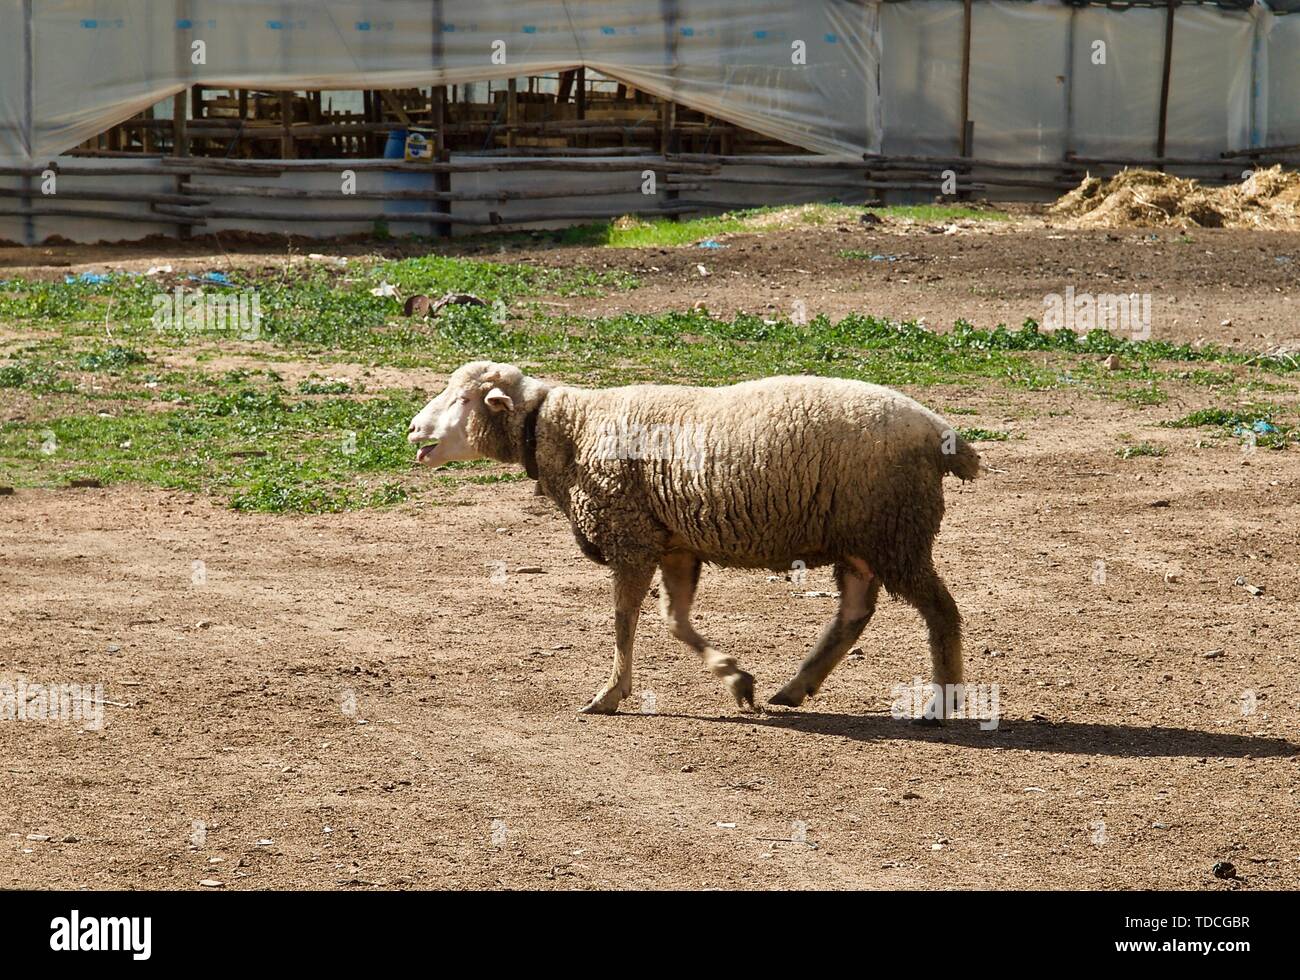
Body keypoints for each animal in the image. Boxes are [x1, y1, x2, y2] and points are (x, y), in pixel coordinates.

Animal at [408, 360, 982, 716]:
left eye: (462, 399)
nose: (412, 429)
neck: (565, 429)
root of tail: (942, 433)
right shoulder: (675, 544)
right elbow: (674, 620)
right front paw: (735, 678)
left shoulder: (630, 536)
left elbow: (624, 622)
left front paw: (610, 694)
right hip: (862, 540)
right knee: (856, 612)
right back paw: (795, 687)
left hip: (895, 531)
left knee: (941, 611)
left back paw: (941, 702)